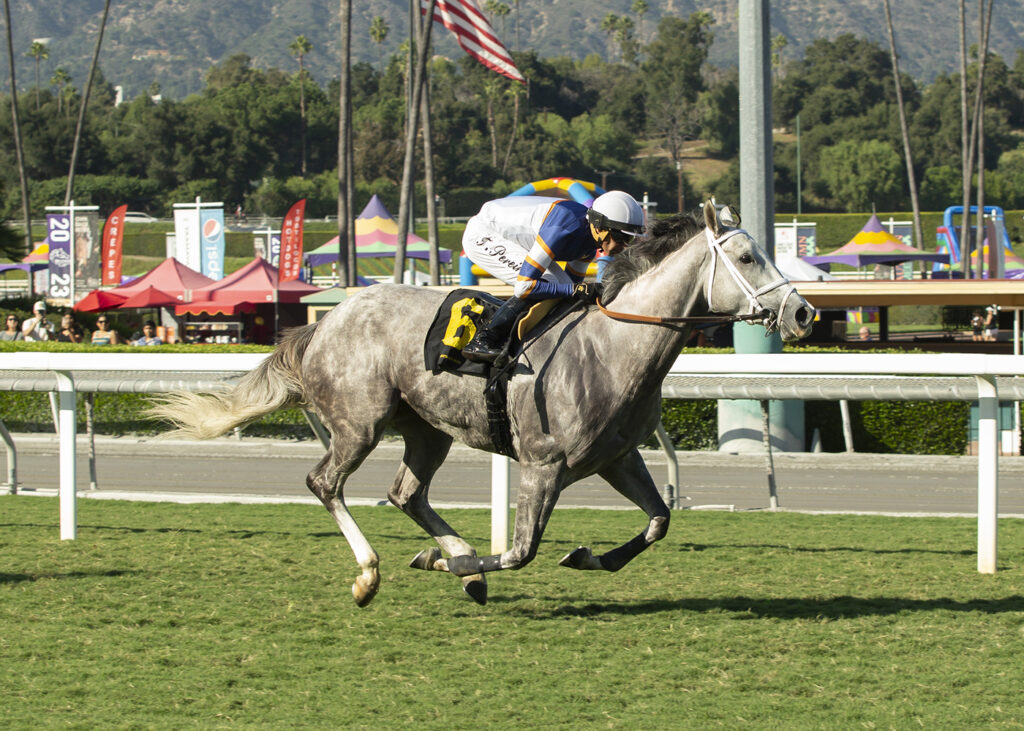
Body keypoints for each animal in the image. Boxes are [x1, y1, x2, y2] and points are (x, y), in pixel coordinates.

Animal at [148, 199, 815, 602]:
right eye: (749, 256)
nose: (803, 313)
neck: (612, 345)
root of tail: (326, 320)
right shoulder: (544, 466)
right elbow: (519, 552)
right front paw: (452, 566)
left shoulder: (618, 458)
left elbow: (658, 522)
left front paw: (583, 557)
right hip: (359, 422)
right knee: (325, 483)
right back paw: (376, 573)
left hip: (426, 428)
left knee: (406, 493)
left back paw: (457, 556)